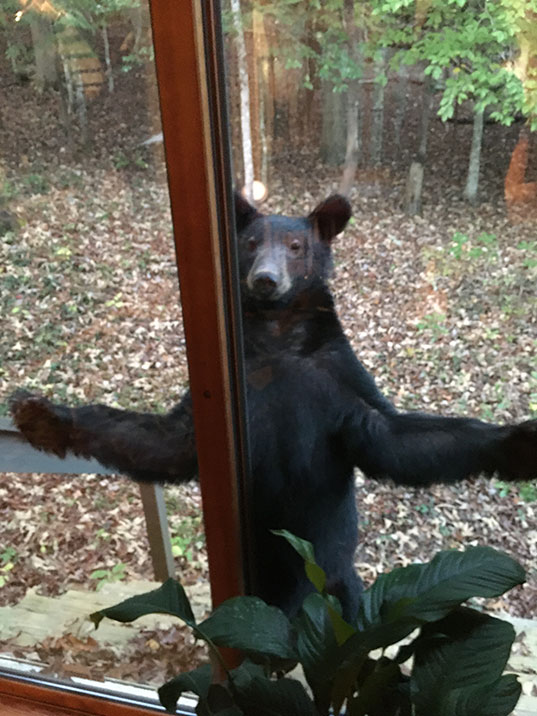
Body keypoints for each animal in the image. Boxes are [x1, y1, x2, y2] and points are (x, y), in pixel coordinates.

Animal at [8, 193, 536, 624]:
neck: (277, 337)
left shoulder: (337, 383)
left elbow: (397, 437)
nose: (266, 279)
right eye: (250, 242)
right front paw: (43, 415)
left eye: (297, 246)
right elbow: (164, 441)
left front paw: (517, 441)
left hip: (336, 580)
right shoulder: (236, 385)